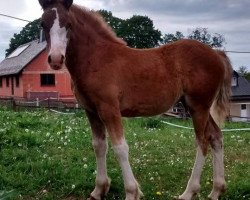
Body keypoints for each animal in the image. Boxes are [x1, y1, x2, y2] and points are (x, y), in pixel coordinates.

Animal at [38, 0, 231, 199]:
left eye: (68, 24)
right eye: (42, 24)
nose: (55, 59)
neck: (96, 58)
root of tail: (217, 54)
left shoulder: (109, 109)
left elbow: (120, 148)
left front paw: (132, 191)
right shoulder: (91, 110)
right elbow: (99, 146)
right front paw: (99, 189)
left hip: (198, 106)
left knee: (202, 142)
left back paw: (189, 192)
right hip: (196, 106)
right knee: (216, 137)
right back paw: (216, 190)